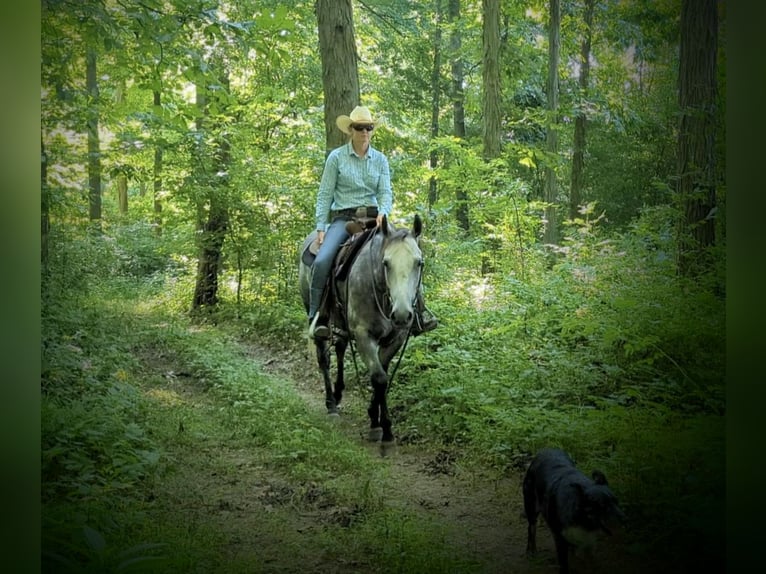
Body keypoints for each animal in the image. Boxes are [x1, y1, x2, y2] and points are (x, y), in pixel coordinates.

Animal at [298, 216, 426, 446]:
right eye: (386, 263)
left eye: (418, 263)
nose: (402, 315)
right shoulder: (363, 336)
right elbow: (379, 378)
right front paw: (382, 427)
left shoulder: (396, 338)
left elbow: (382, 374)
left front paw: (375, 417)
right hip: (314, 312)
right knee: (324, 358)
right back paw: (331, 404)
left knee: (340, 348)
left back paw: (338, 393)